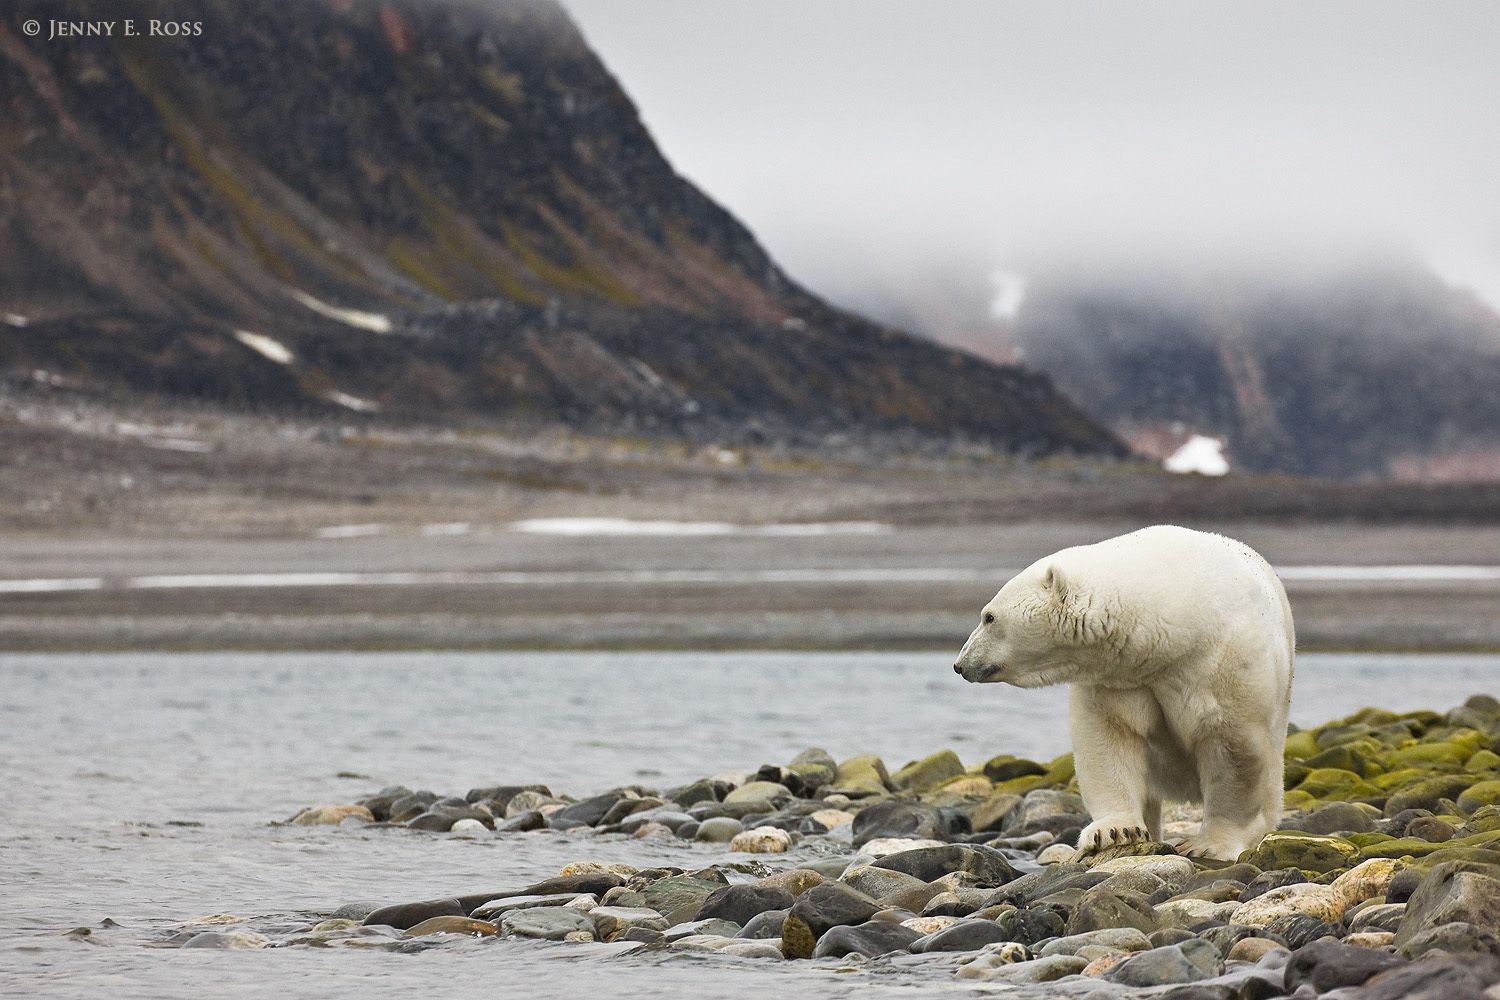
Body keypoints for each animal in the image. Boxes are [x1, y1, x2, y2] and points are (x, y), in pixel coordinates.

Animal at [953, 524, 1294, 862]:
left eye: (989, 616)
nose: (960, 664)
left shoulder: (1222, 662)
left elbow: (1232, 749)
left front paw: (1211, 844)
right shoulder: (1118, 678)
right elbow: (1107, 739)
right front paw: (1115, 831)